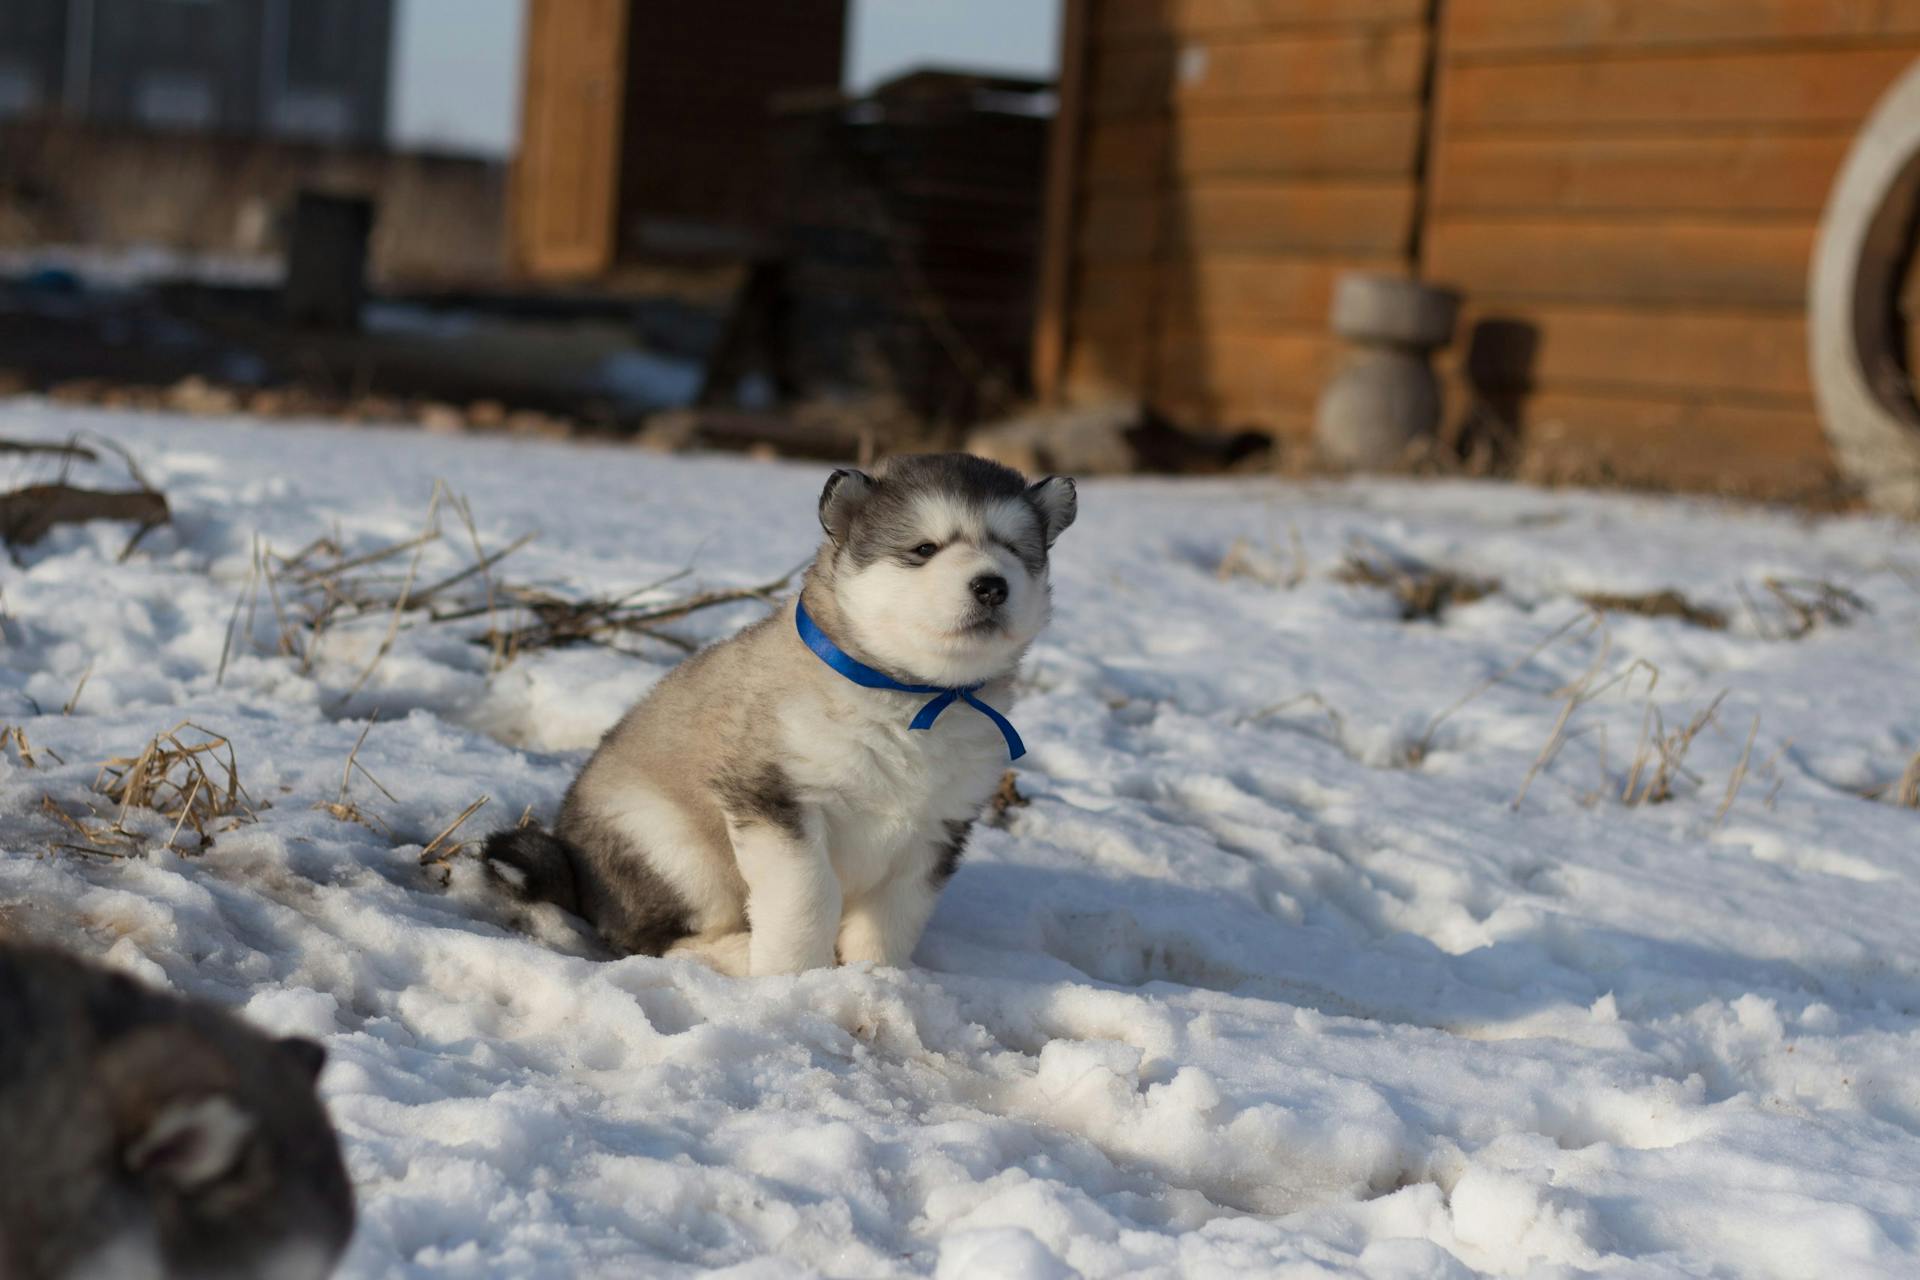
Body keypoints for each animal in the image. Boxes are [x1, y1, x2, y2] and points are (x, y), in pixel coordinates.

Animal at [487, 454, 1075, 974]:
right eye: (924, 548)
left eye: (1014, 551)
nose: (992, 584)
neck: (911, 695)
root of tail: (570, 857)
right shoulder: (777, 801)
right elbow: (808, 898)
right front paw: (797, 981)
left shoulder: (936, 828)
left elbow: (892, 917)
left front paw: (877, 980)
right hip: (674, 850)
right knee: (650, 938)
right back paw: (733, 955)